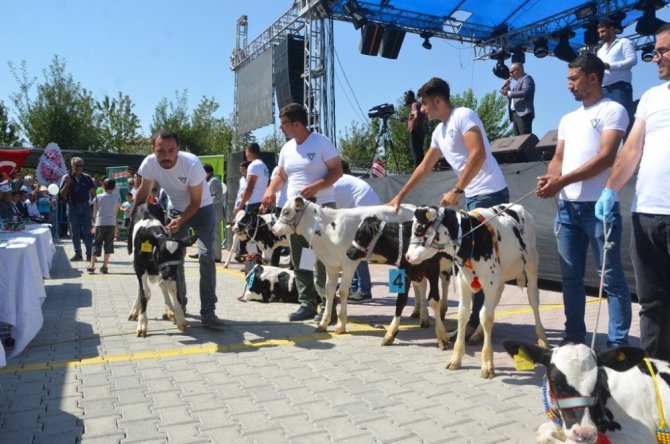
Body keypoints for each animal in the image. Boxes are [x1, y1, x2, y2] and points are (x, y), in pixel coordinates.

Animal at [272, 198, 414, 332]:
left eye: (286, 212)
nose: (273, 229)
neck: (327, 229)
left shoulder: (349, 263)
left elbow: (343, 291)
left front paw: (340, 325)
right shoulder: (331, 265)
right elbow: (328, 290)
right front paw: (323, 324)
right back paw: (416, 314)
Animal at [344, 217, 454, 348]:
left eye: (361, 235)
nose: (348, 252)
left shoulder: (433, 270)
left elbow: (434, 300)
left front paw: (441, 336)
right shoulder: (406, 271)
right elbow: (400, 301)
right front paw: (390, 334)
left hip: (445, 269)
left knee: (445, 284)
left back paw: (442, 311)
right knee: (421, 286)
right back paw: (423, 316)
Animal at [406, 205, 548, 378]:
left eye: (419, 229)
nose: (407, 257)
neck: (472, 237)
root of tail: (519, 208)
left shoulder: (490, 281)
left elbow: (486, 317)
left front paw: (487, 364)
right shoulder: (463, 280)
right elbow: (463, 314)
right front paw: (456, 358)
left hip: (532, 265)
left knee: (533, 300)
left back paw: (542, 338)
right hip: (500, 276)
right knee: (496, 298)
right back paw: (475, 334)